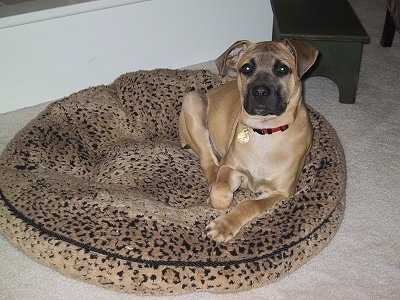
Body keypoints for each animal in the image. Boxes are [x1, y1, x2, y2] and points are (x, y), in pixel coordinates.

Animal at [178, 38, 318, 243]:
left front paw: (224, 225)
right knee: (209, 162)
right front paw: (219, 199)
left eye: (282, 69)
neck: (265, 132)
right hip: (192, 100)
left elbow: (251, 204)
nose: (259, 92)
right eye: (246, 68)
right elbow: (221, 191)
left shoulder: (282, 191)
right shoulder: (230, 167)